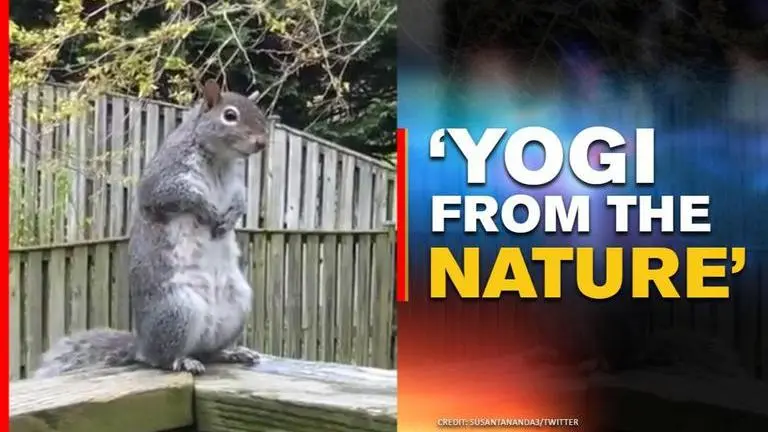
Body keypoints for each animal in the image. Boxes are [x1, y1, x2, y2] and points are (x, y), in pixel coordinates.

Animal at [33, 79, 268, 378]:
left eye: (258, 111)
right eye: (230, 115)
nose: (262, 141)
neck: (218, 161)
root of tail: (141, 344)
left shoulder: (236, 184)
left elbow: (239, 201)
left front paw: (229, 218)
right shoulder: (165, 178)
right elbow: (180, 197)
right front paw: (209, 211)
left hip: (237, 304)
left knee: (210, 351)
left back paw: (231, 352)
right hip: (178, 310)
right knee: (160, 359)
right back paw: (182, 360)